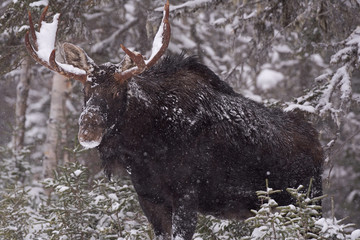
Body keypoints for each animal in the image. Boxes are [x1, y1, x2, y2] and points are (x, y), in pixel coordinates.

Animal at [24, 0, 324, 239]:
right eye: (86, 90)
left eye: (119, 90)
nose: (88, 128)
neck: (146, 147)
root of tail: (319, 146)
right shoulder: (149, 198)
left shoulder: (187, 197)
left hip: (307, 202)